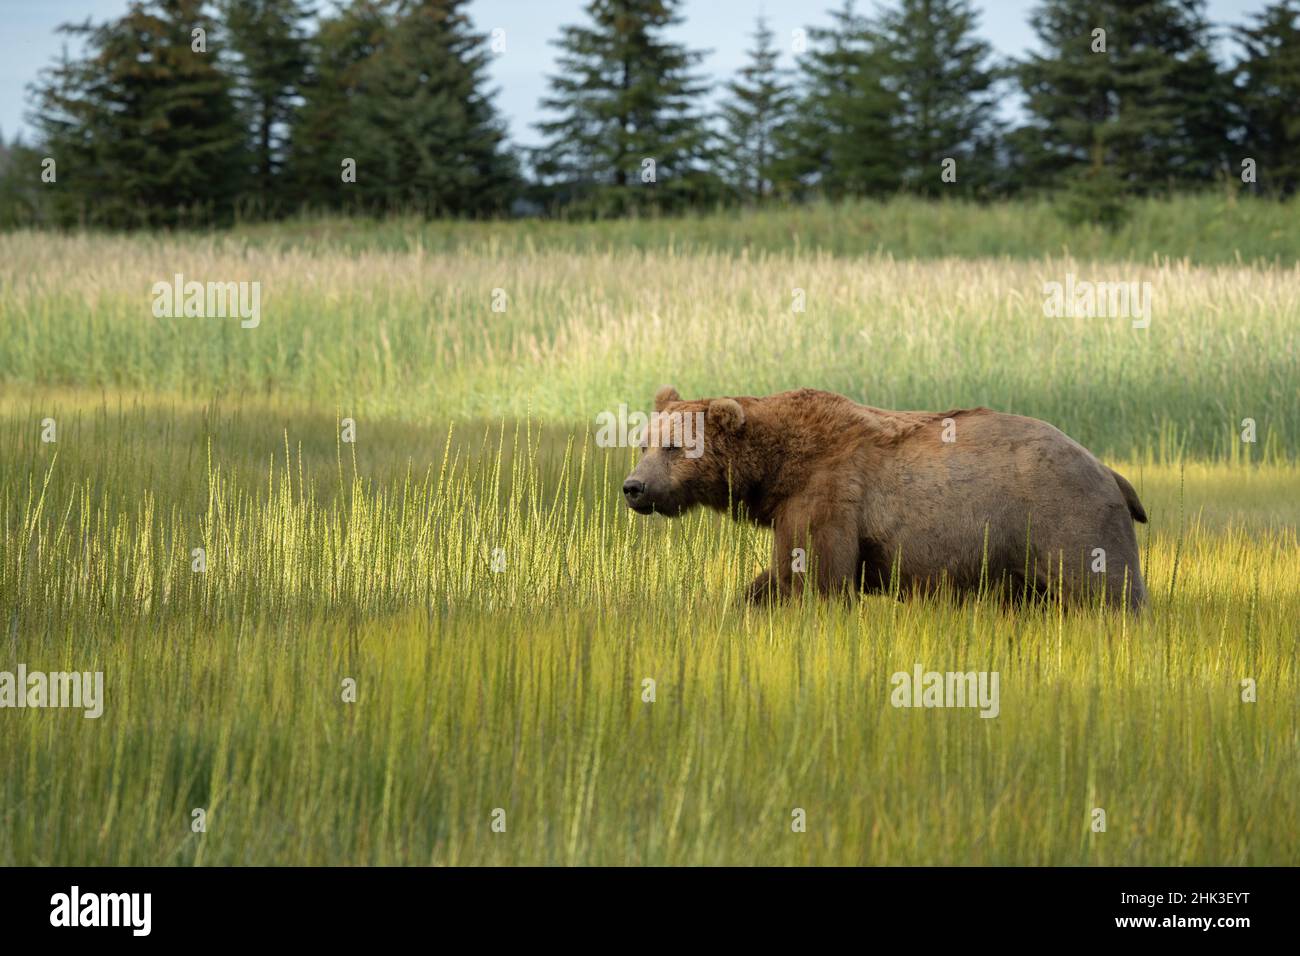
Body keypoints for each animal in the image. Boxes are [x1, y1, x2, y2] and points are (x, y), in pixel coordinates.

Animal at [624, 390, 1144, 613]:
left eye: (674, 447)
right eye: (643, 443)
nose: (634, 487)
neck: (776, 468)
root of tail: (1108, 470)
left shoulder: (828, 493)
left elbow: (818, 577)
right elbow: (776, 579)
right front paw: (748, 604)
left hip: (1064, 518)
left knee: (1104, 589)